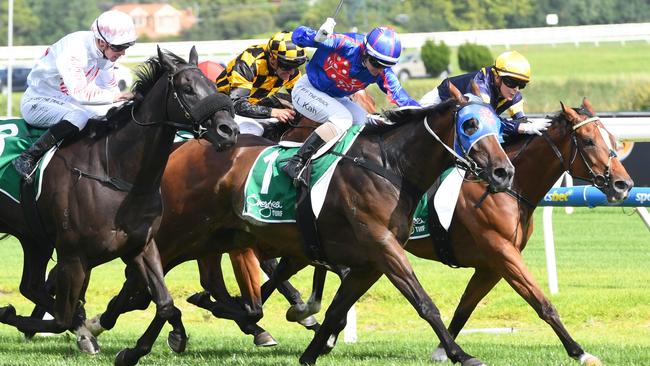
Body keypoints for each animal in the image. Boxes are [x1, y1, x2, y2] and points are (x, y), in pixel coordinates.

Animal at [0, 46, 238, 358]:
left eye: (213, 85)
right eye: (187, 89)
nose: (229, 130)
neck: (114, 170)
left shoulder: (140, 246)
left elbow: (165, 303)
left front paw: (164, 340)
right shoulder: (73, 256)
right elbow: (63, 318)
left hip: (34, 238)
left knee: (31, 286)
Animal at [87, 86, 512, 366]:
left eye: (500, 127)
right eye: (470, 124)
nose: (503, 172)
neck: (389, 166)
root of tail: (183, 147)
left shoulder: (367, 262)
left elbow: (336, 309)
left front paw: (311, 350)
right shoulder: (383, 247)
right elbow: (425, 303)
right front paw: (462, 354)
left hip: (213, 235)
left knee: (162, 281)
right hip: (183, 230)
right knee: (147, 275)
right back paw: (114, 332)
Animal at [260, 98, 632, 366]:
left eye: (612, 140)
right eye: (588, 141)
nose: (623, 184)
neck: (510, 189)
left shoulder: (490, 265)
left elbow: (466, 306)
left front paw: (443, 350)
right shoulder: (502, 252)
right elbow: (541, 302)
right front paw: (579, 351)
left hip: (309, 244)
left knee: (281, 274)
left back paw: (299, 320)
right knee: (275, 274)